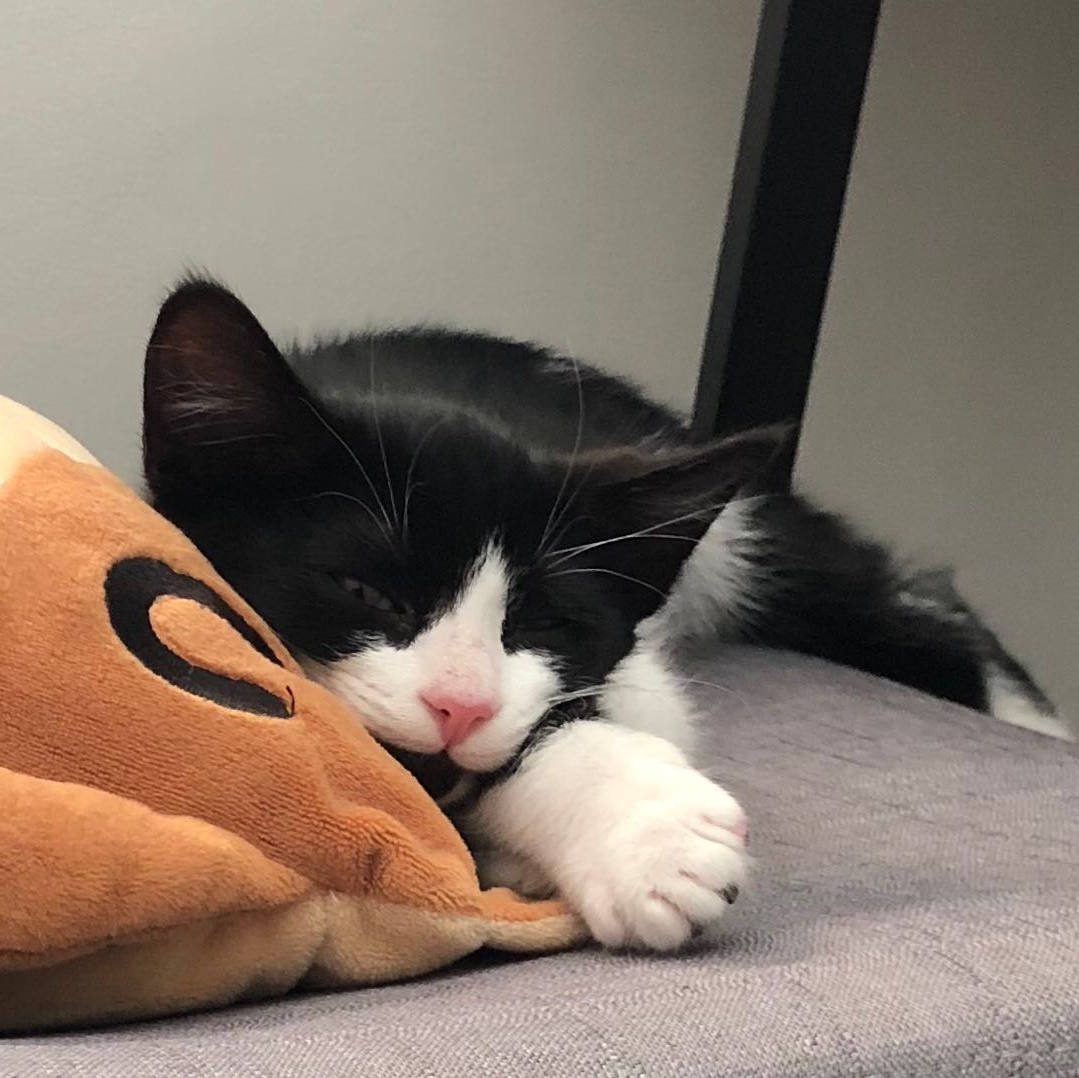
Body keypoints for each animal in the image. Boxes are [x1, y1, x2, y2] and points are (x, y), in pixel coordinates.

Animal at [142, 277, 1065, 951]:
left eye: (545, 624)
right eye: (365, 592)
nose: (458, 706)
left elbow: (561, 716)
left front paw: (646, 837)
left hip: (738, 523)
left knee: (883, 591)